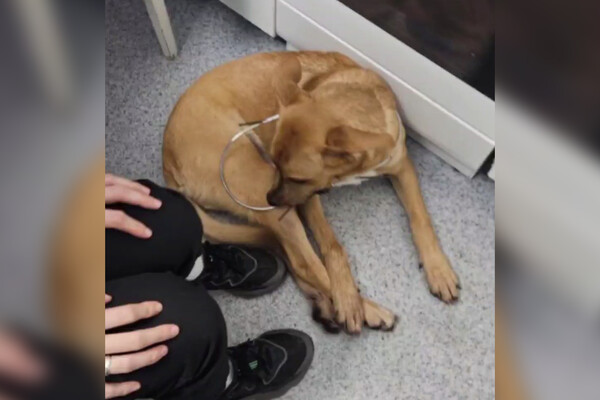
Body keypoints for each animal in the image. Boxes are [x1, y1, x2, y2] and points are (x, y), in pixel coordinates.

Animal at [163, 51, 459, 333]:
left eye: (296, 177)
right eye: (276, 163)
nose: (271, 200)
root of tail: (167, 161)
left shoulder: (401, 167)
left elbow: (420, 219)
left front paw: (439, 270)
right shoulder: (307, 199)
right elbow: (332, 245)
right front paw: (347, 298)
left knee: (291, 254)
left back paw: (325, 306)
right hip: (256, 180)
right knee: (304, 262)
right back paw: (366, 310)